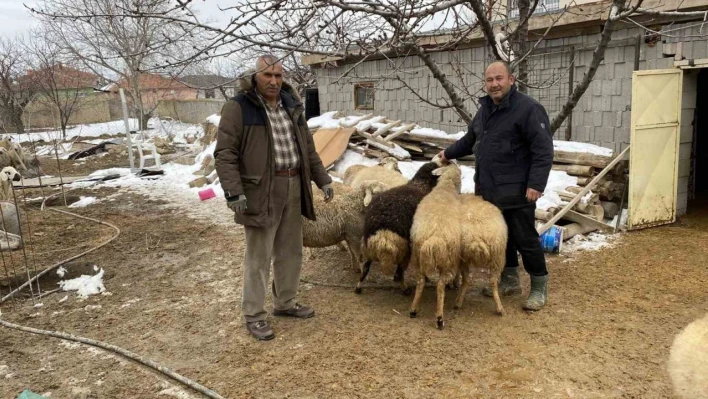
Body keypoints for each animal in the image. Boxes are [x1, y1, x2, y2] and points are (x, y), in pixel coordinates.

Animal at [356, 161, 446, 296]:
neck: (421, 185)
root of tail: (383, 235)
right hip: (404, 252)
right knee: (399, 273)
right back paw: (406, 289)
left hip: (367, 248)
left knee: (365, 269)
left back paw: (358, 287)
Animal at [406, 162, 462, 328]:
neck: (446, 186)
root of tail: (433, 240)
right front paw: (456, 284)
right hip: (448, 261)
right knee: (440, 286)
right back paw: (440, 318)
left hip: (417, 256)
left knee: (420, 282)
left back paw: (413, 310)